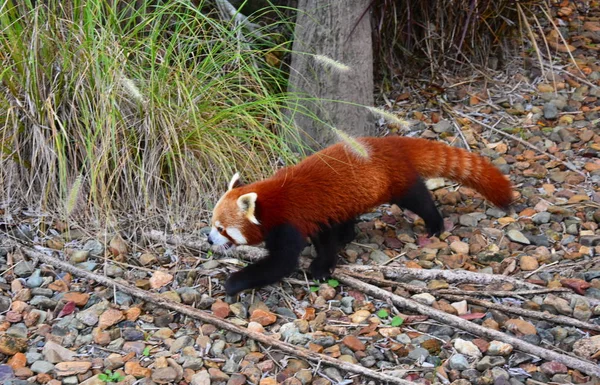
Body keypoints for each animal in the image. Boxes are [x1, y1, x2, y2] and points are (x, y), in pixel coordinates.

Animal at [209, 136, 512, 296]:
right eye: (212, 225)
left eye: (222, 228)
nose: (209, 240)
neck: (271, 201)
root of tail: (390, 141)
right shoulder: (318, 216)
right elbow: (326, 239)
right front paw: (326, 261)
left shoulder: (290, 222)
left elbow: (281, 262)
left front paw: (234, 282)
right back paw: (348, 234)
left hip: (396, 182)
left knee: (419, 199)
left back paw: (435, 224)